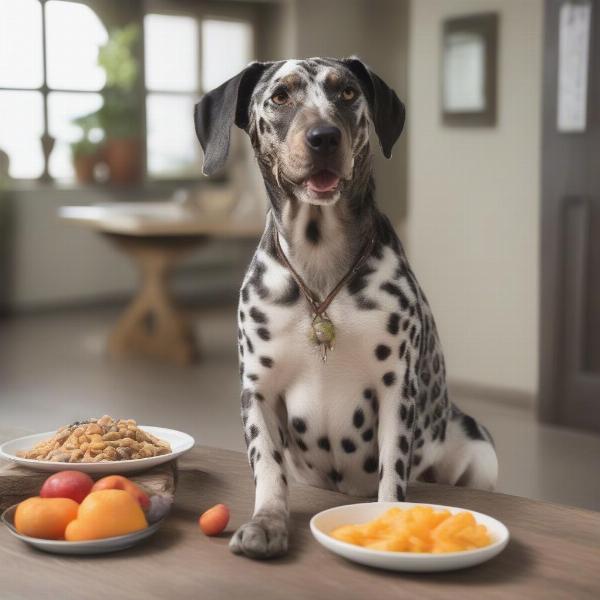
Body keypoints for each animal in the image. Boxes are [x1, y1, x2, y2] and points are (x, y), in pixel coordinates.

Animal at [196, 56, 496, 556]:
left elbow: (392, 475)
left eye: (348, 93)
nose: (324, 137)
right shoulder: (258, 391)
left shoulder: (396, 389)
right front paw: (267, 522)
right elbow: (269, 470)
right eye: (280, 95)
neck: (320, 271)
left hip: (478, 451)